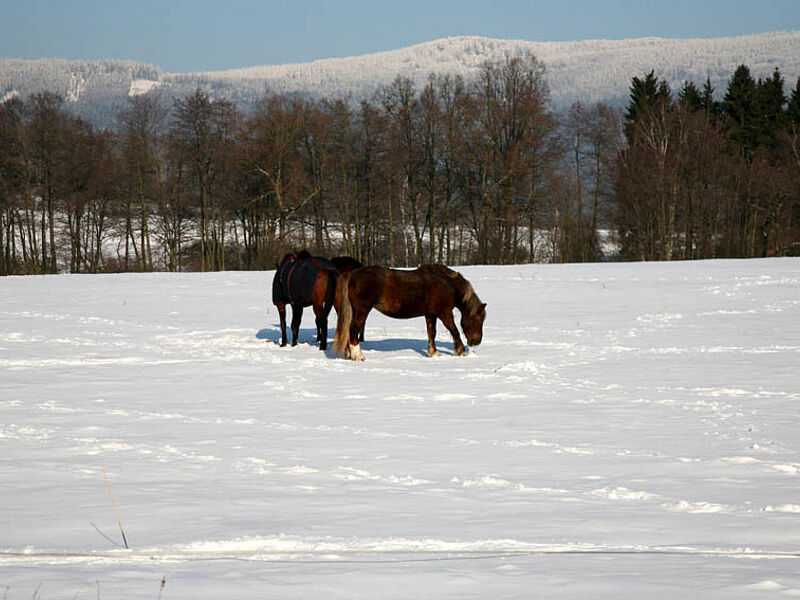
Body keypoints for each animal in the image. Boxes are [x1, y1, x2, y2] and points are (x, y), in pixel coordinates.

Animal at [332, 266, 488, 360]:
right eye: (479, 319)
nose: (476, 342)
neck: (447, 283)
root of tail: (352, 274)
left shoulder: (430, 314)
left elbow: (432, 333)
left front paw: (434, 353)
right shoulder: (444, 313)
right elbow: (454, 330)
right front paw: (461, 351)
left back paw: (349, 355)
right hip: (362, 311)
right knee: (353, 331)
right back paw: (359, 356)